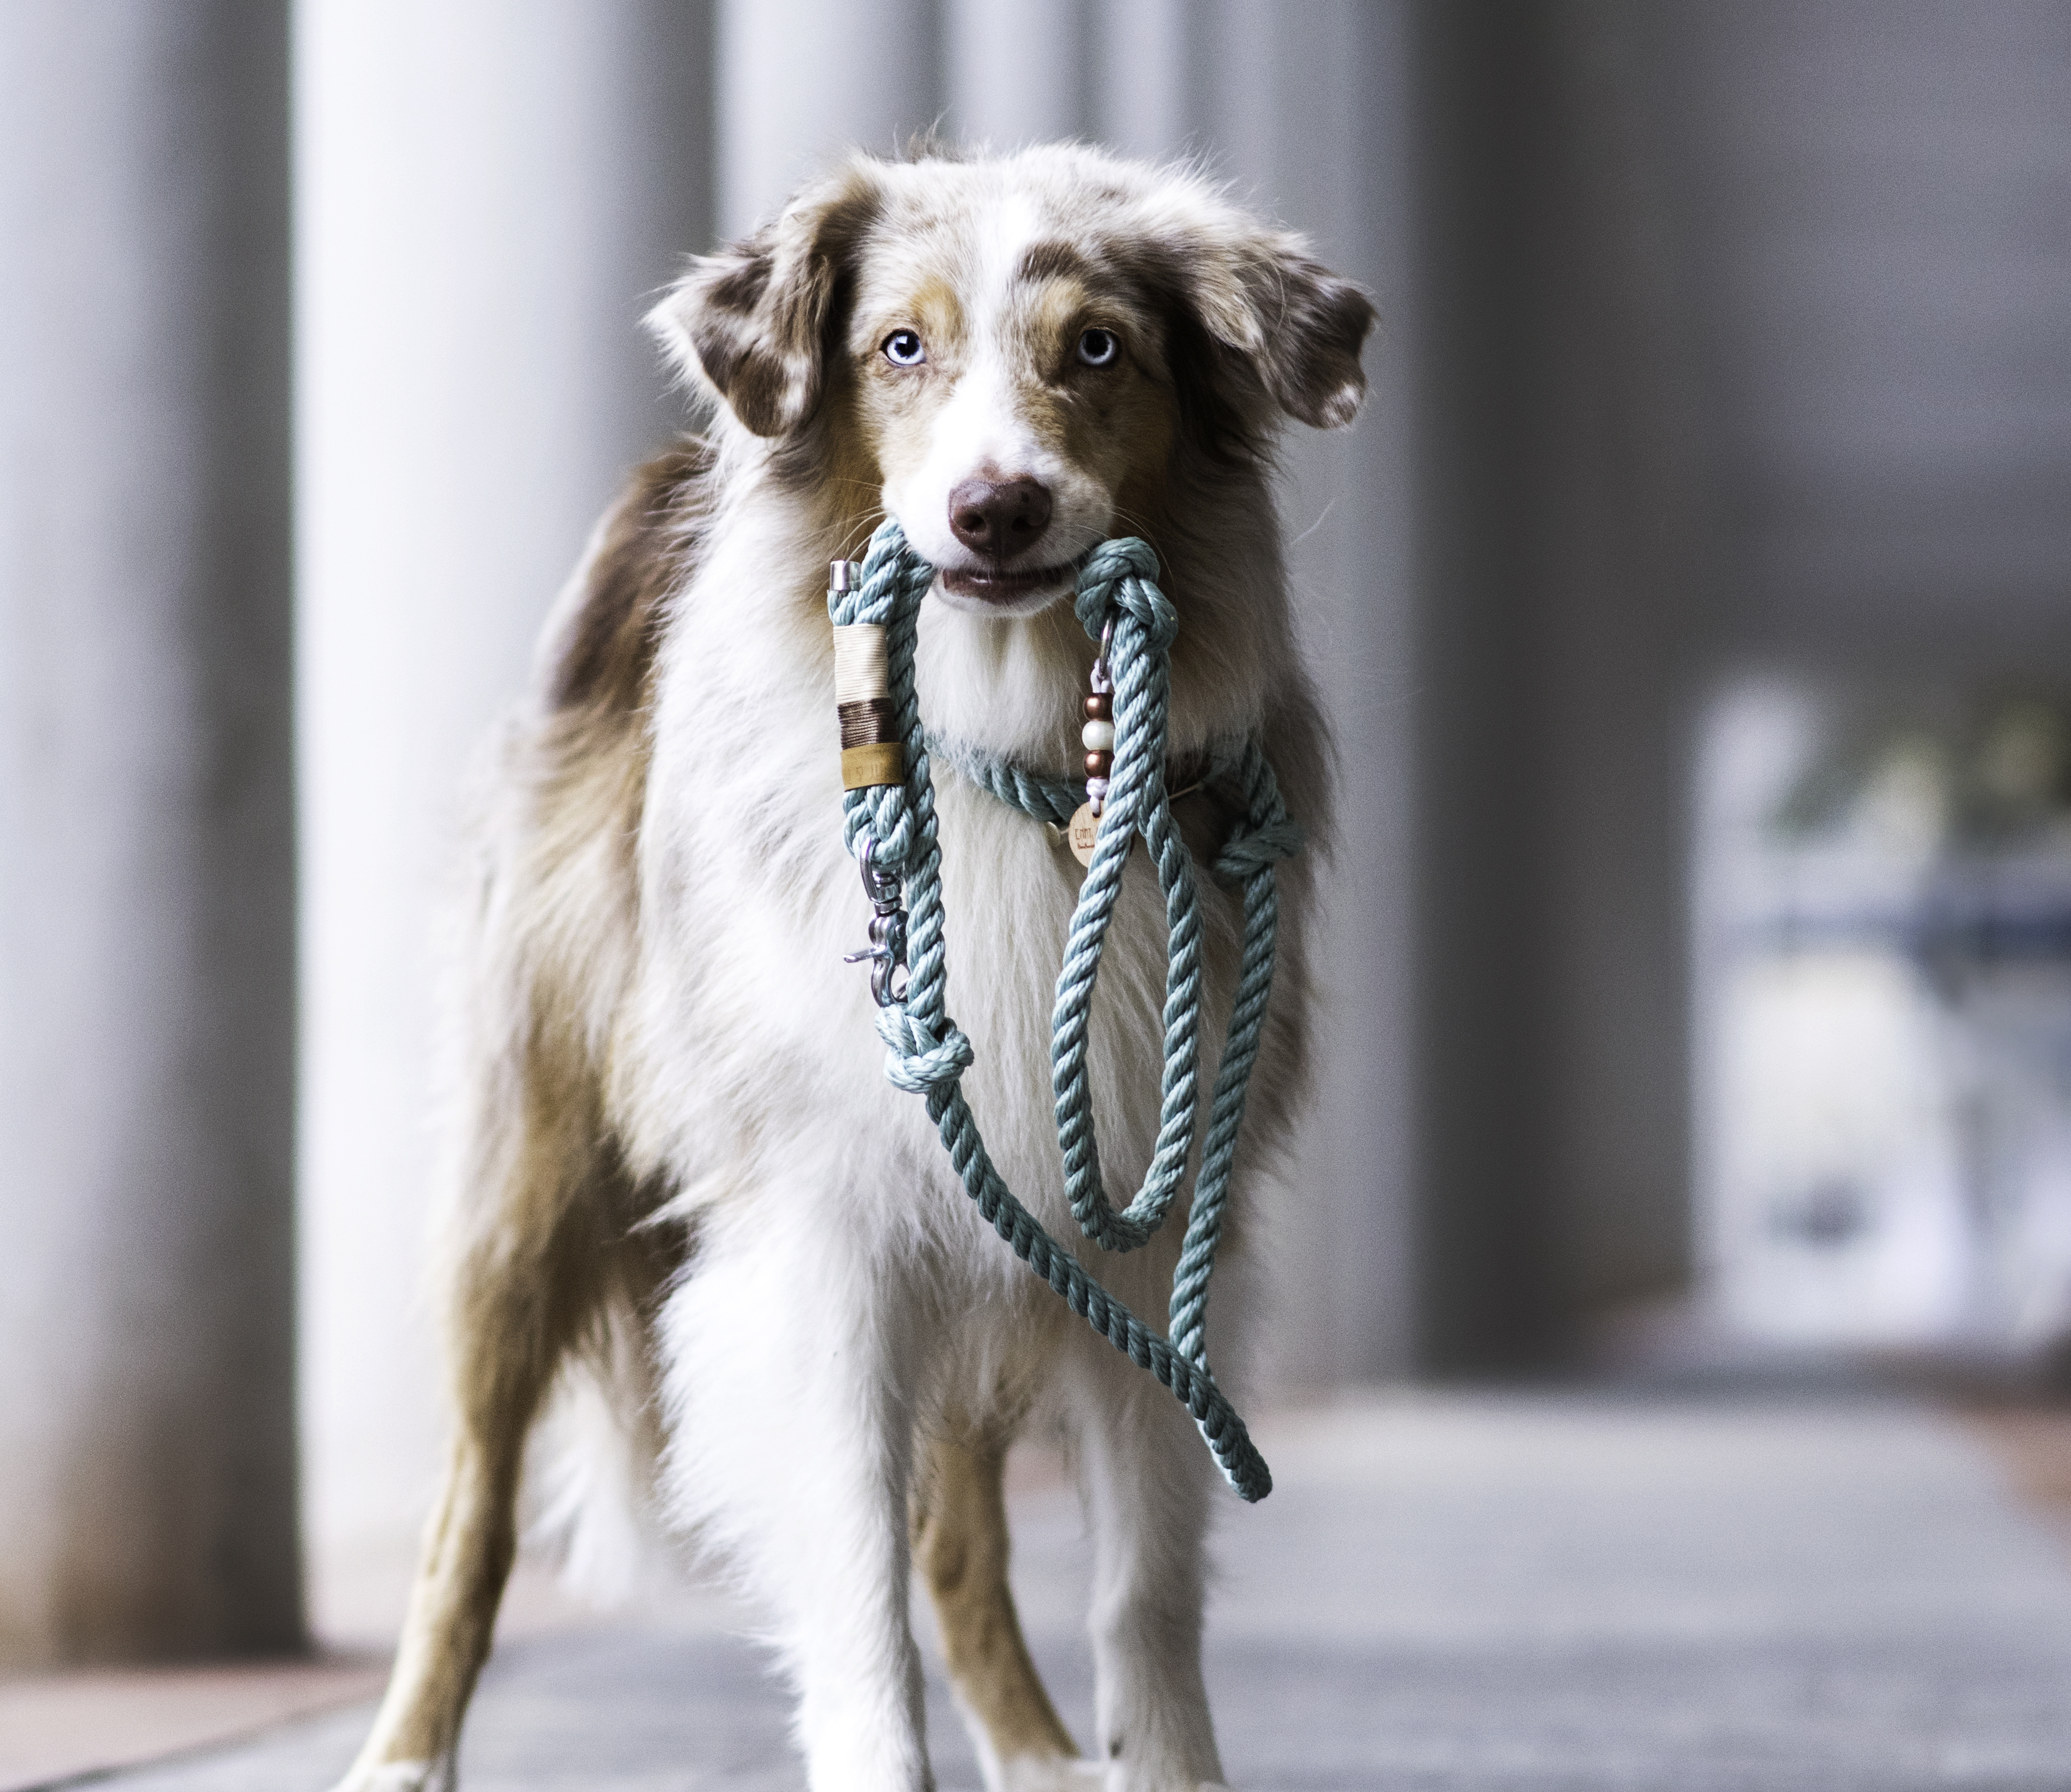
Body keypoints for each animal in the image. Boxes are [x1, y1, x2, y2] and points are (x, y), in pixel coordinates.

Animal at [335, 143, 1375, 1790]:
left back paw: (1038, 1753)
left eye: (1099, 348)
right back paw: (401, 1753)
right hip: (528, 1164)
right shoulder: (823, 1219)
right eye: (898, 346)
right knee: (472, 1508)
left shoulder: (1128, 1214)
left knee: (958, 1536)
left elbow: (1141, 1586)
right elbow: (852, 1576)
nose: (994, 509)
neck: (999, 733)